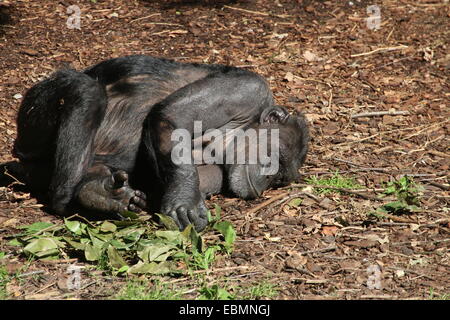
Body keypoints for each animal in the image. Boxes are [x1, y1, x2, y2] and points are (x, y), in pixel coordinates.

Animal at [11, 54, 310, 230]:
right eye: (278, 158)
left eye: (280, 179)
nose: (268, 177)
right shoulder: (248, 90)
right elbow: (171, 117)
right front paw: (184, 201)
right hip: (29, 141)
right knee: (85, 89)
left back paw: (102, 195)